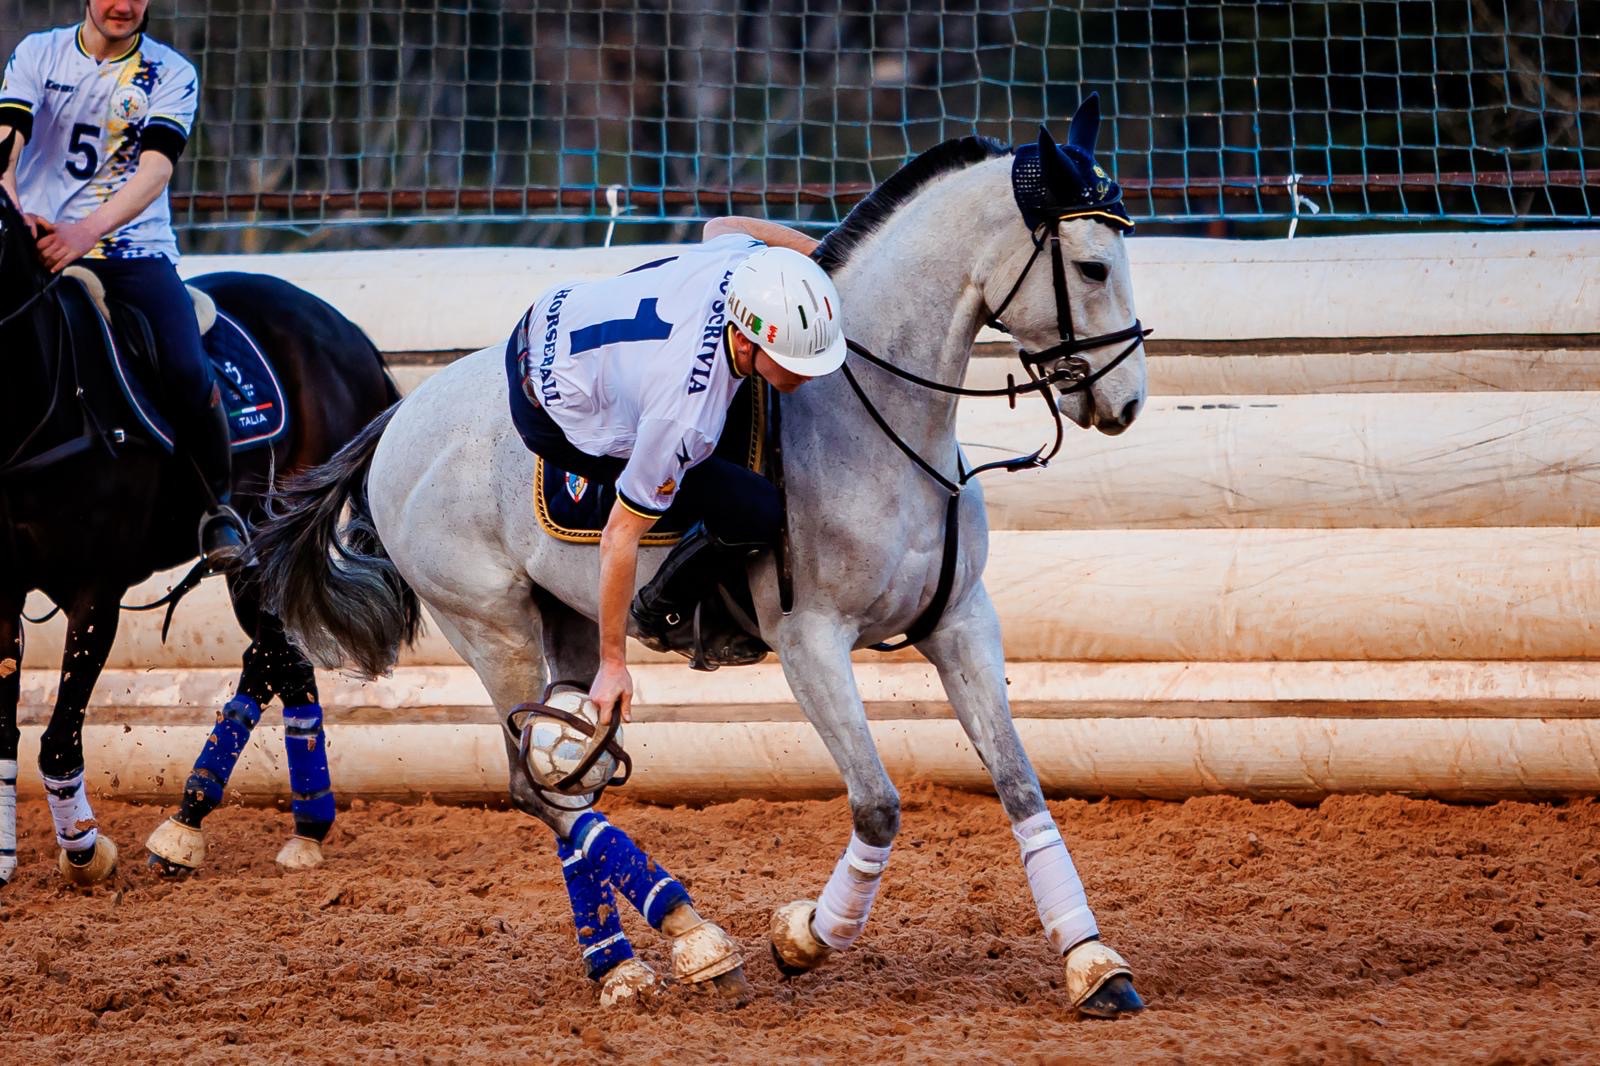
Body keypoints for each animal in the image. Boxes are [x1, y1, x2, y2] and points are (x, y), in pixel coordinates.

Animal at [0, 140, 399, 888]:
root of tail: (349, 334)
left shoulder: (96, 591)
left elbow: (60, 736)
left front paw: (86, 851)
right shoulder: (0, 587)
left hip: (264, 542)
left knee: (267, 658)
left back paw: (185, 826)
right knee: (287, 661)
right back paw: (304, 826)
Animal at [252, 95, 1149, 1015]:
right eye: (1090, 267)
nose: (1124, 401)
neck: (877, 424)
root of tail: (398, 419)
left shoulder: (963, 624)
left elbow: (1019, 784)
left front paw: (1091, 960)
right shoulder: (811, 643)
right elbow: (877, 805)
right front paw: (805, 936)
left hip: (568, 623)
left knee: (563, 777)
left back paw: (641, 953)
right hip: (492, 628)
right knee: (540, 786)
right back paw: (678, 941)